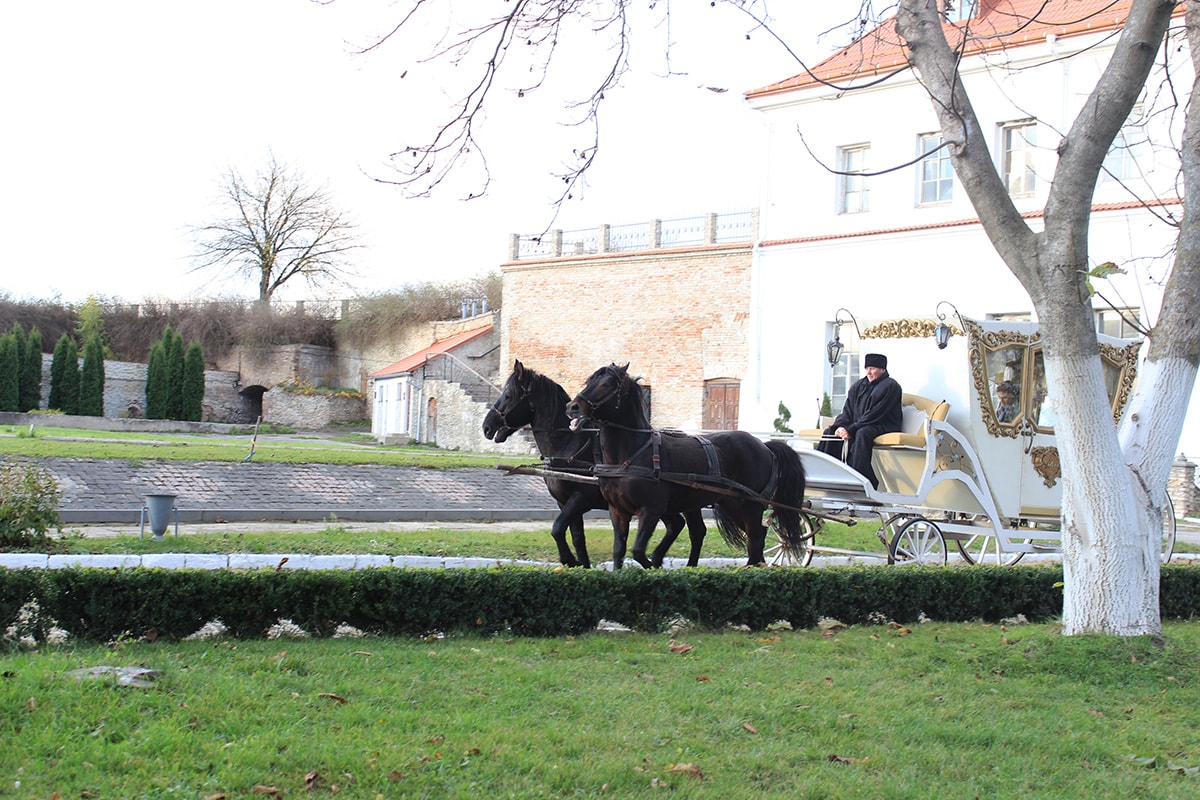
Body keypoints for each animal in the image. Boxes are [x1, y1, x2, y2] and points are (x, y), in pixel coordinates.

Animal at [482, 359, 700, 566]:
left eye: (508, 395)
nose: (486, 427)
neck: (568, 443)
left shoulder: (580, 499)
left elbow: (557, 529)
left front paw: (569, 560)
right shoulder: (564, 503)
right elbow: (577, 538)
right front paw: (582, 564)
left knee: (694, 531)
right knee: (676, 524)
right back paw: (657, 558)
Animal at [561, 362, 806, 568]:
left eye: (606, 384)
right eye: (588, 381)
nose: (572, 407)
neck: (632, 454)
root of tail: (763, 445)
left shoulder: (651, 510)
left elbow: (638, 551)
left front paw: (655, 565)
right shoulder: (618, 511)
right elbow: (619, 551)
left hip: (751, 505)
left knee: (755, 537)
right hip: (729, 503)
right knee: (736, 535)